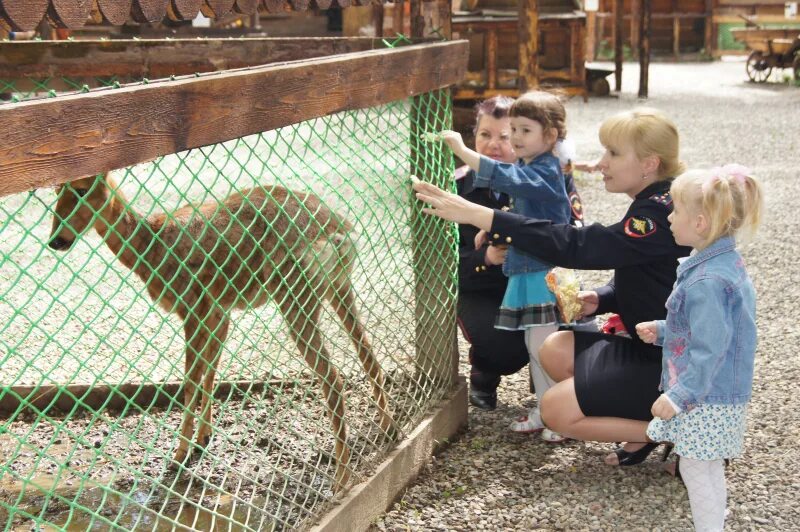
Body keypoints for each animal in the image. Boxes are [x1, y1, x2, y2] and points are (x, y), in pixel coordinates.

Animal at [49, 174, 396, 490]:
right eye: (56, 191)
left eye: (81, 191)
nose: (55, 240)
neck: (150, 249)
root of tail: (337, 233)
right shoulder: (219, 309)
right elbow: (211, 371)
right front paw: (204, 437)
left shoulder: (191, 305)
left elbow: (190, 381)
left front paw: (179, 455)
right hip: (339, 286)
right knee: (368, 354)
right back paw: (388, 429)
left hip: (296, 292)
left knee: (333, 378)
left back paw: (341, 480)